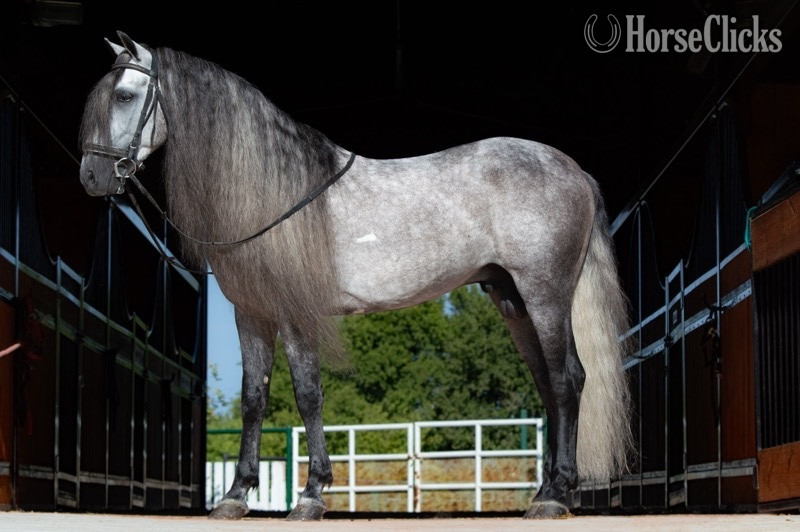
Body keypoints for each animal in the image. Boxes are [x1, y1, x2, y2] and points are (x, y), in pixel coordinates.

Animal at [79, 32, 632, 520]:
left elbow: (307, 393)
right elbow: (254, 398)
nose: (91, 177)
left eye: (125, 95)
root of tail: (574, 171)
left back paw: (555, 496)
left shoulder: (294, 313)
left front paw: (311, 496)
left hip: (545, 295)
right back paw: (544, 491)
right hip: (512, 300)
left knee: (566, 380)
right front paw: (235, 497)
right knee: (547, 384)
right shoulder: (251, 314)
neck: (273, 194)